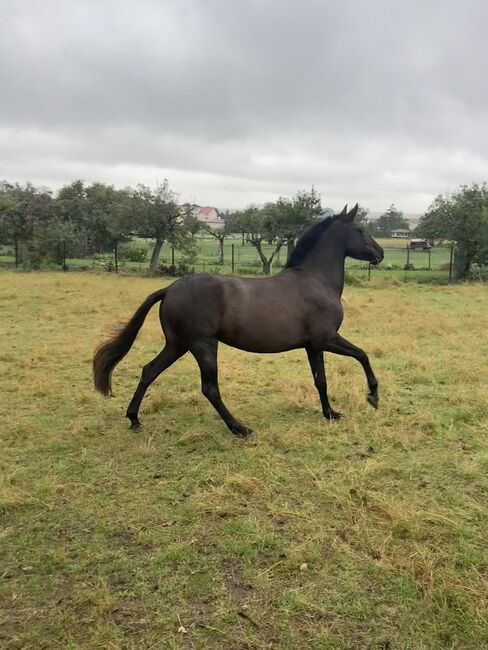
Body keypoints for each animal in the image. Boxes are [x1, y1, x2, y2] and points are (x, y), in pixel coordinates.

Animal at [93, 202, 386, 436]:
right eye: (360, 230)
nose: (380, 253)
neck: (315, 279)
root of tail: (171, 289)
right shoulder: (327, 339)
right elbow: (362, 355)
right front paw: (373, 397)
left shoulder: (313, 346)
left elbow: (320, 380)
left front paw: (330, 414)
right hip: (203, 345)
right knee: (209, 388)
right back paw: (239, 428)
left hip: (178, 345)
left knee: (149, 371)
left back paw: (134, 419)